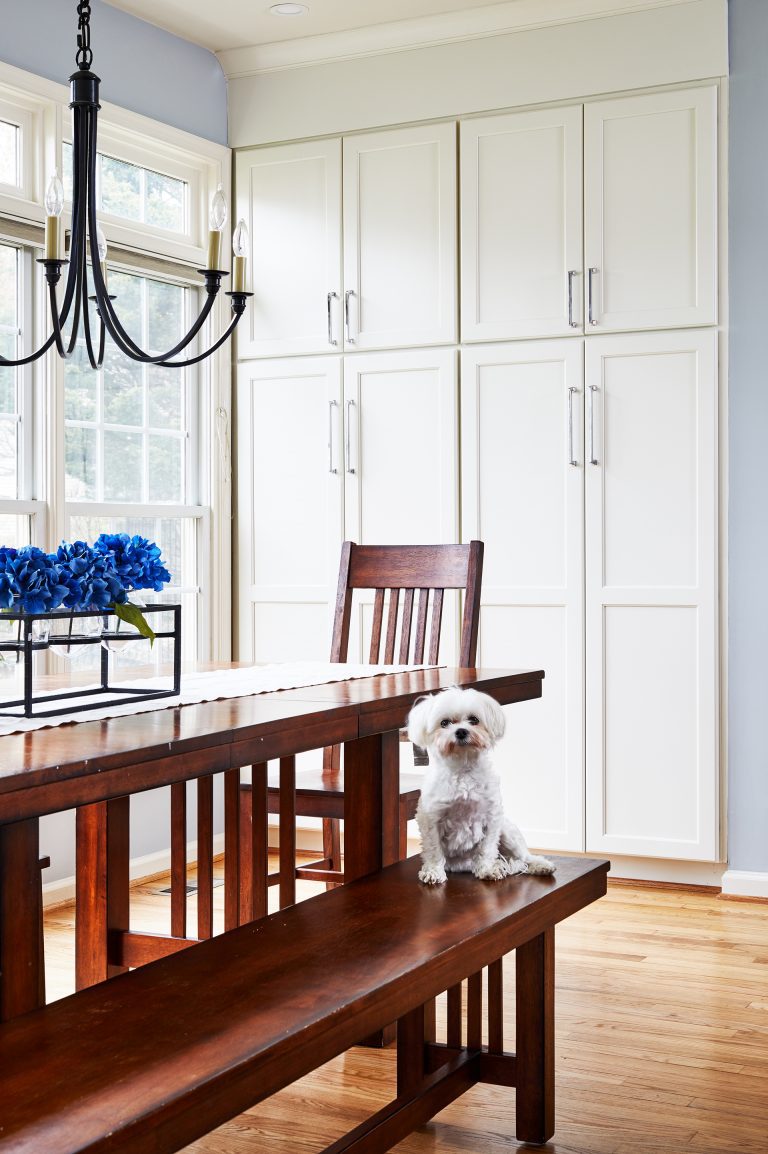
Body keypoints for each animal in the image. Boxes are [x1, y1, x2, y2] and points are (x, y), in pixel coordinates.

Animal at [410, 687, 553, 886]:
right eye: (444, 723)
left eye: (474, 720)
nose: (461, 731)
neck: (463, 767)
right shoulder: (431, 818)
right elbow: (434, 849)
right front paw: (433, 872)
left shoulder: (491, 817)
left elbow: (487, 848)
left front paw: (487, 869)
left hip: (507, 831)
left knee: (524, 856)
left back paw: (540, 865)